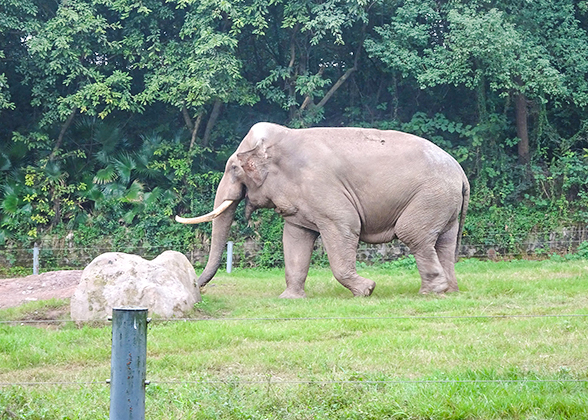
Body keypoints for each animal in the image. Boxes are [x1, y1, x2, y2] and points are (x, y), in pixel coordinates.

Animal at [177, 121, 470, 298]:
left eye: (234, 168)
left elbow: (344, 225)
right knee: (443, 242)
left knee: (413, 234)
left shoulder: (322, 186)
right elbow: (294, 238)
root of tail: (461, 174)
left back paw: (431, 292)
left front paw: (367, 290)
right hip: (445, 203)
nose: (198, 288)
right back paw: (450, 290)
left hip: (430, 197)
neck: (285, 136)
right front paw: (290, 298)